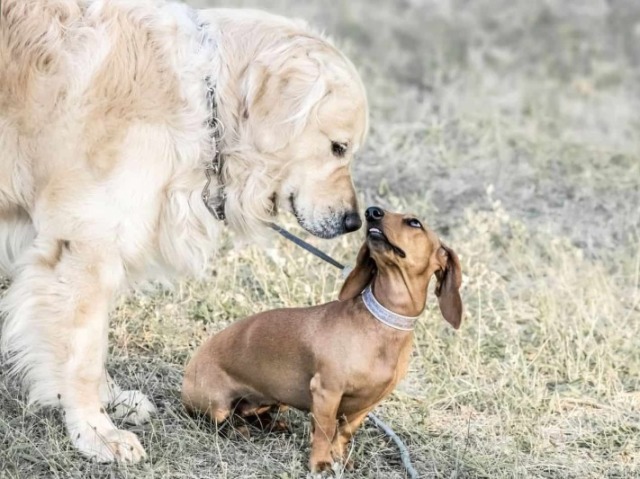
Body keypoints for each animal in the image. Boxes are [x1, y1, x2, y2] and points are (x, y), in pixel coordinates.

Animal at [0, 0, 368, 464]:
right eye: (338, 147)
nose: (354, 222)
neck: (204, 101)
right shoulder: (85, 245)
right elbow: (81, 353)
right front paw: (95, 431)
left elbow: (91, 343)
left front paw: (109, 399)